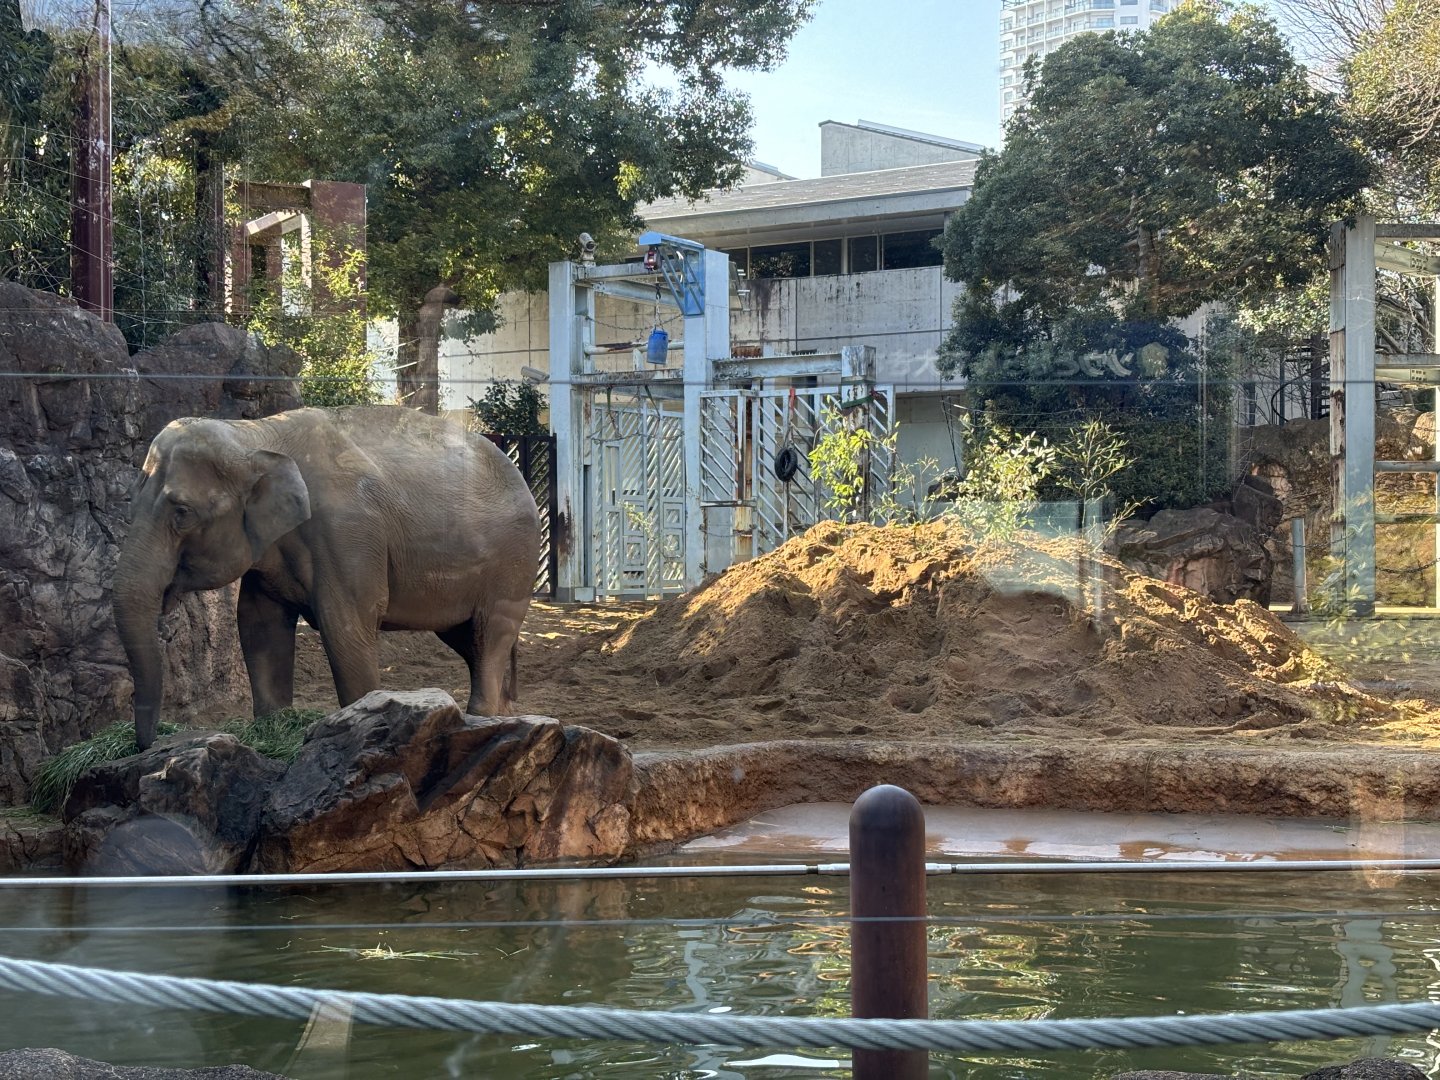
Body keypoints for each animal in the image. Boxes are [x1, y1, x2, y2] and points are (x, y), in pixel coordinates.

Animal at [113, 405, 542, 750]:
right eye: (130, 503)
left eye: (182, 512)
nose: (147, 745)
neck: (254, 433)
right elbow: (258, 626)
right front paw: (275, 727)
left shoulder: (348, 536)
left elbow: (347, 629)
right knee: (469, 639)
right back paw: (507, 714)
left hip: (514, 565)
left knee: (490, 635)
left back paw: (484, 717)